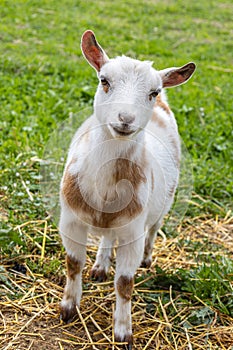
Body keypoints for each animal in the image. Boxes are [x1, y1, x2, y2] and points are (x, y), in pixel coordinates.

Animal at [58, 30, 195, 348]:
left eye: (152, 92)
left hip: (163, 204)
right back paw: (100, 265)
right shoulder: (71, 220)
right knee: (108, 237)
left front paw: (123, 332)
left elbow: (124, 283)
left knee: (153, 229)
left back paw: (145, 259)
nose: (125, 119)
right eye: (104, 80)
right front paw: (68, 308)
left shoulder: (133, 229)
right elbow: (73, 263)